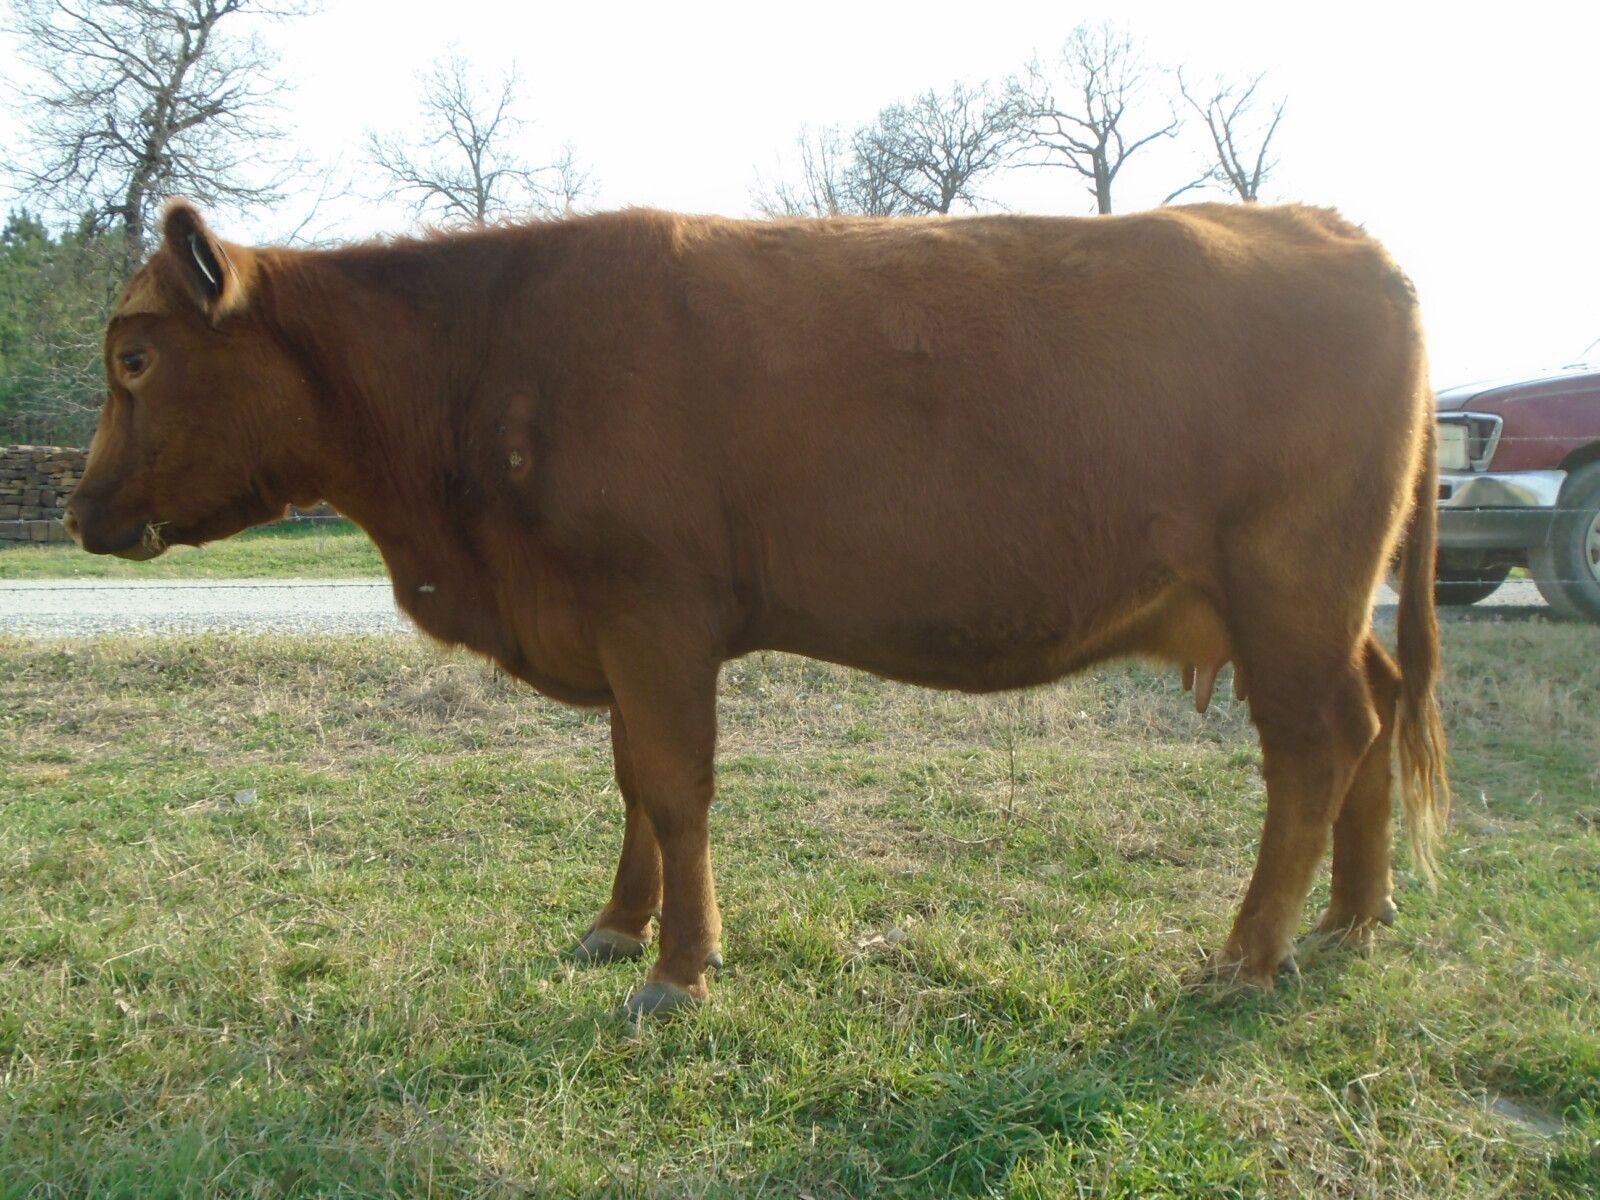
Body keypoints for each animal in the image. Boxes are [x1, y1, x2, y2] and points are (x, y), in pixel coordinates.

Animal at [65, 201, 1448, 1017]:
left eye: (134, 358)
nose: (79, 511)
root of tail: (1334, 230)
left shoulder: (656, 617)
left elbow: (677, 789)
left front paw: (680, 968)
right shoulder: (619, 634)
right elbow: (631, 781)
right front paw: (616, 927)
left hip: (1288, 585)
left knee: (1317, 746)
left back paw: (1248, 956)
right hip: (1322, 600)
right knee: (1377, 713)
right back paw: (1353, 919)